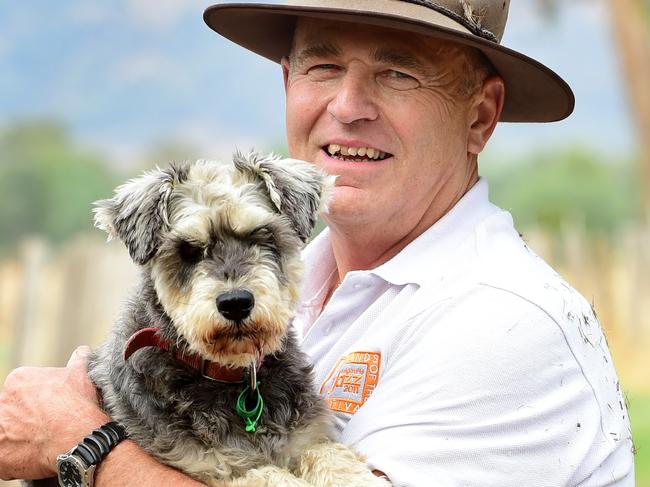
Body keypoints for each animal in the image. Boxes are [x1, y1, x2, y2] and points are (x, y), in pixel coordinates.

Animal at [80, 155, 384, 487]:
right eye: (188, 249)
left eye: (263, 235)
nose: (235, 303)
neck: (232, 375)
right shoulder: (218, 470)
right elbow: (271, 476)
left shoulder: (306, 439)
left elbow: (329, 455)